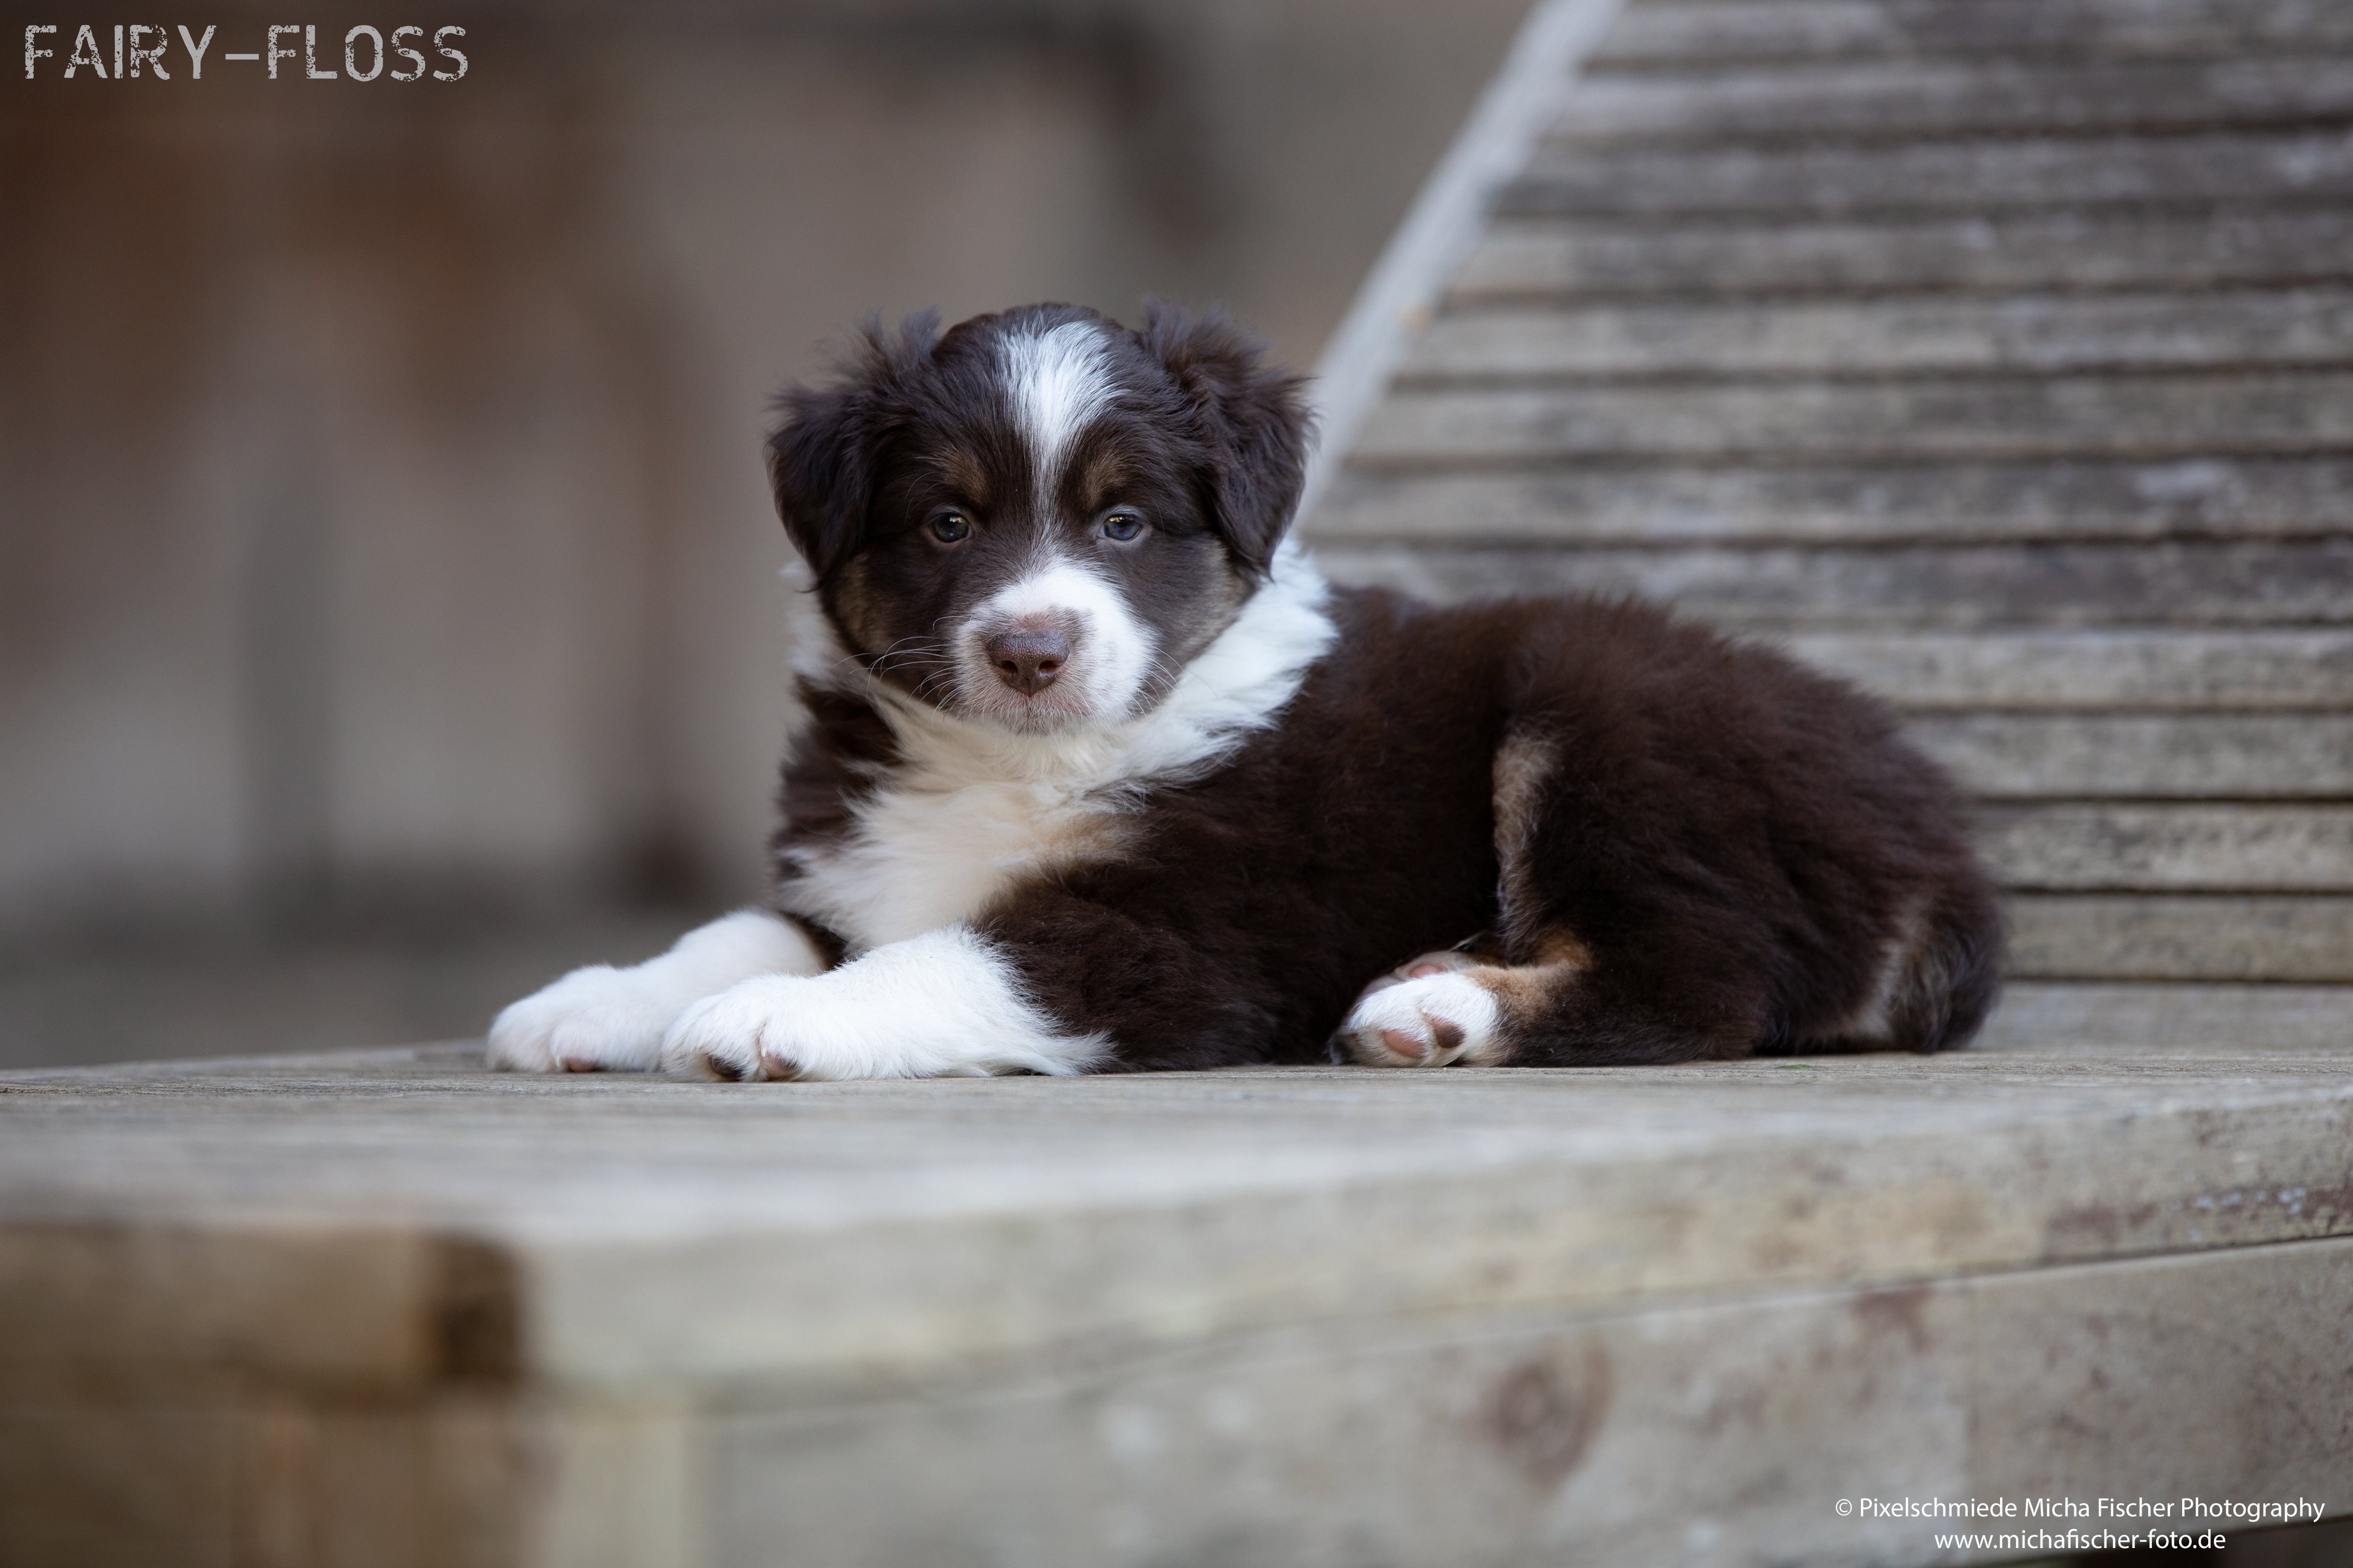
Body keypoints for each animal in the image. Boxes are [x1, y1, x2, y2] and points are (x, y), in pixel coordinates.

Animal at [487, 298, 1995, 1081]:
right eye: (947, 524)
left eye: (1126, 524)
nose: (1031, 649)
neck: (1016, 763)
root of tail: (1940, 840)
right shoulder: (855, 867)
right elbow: (744, 929)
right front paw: (588, 1001)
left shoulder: (1191, 935)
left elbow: (959, 952)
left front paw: (775, 1022)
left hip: (1612, 720)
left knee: (1700, 980)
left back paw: (1437, 1009)